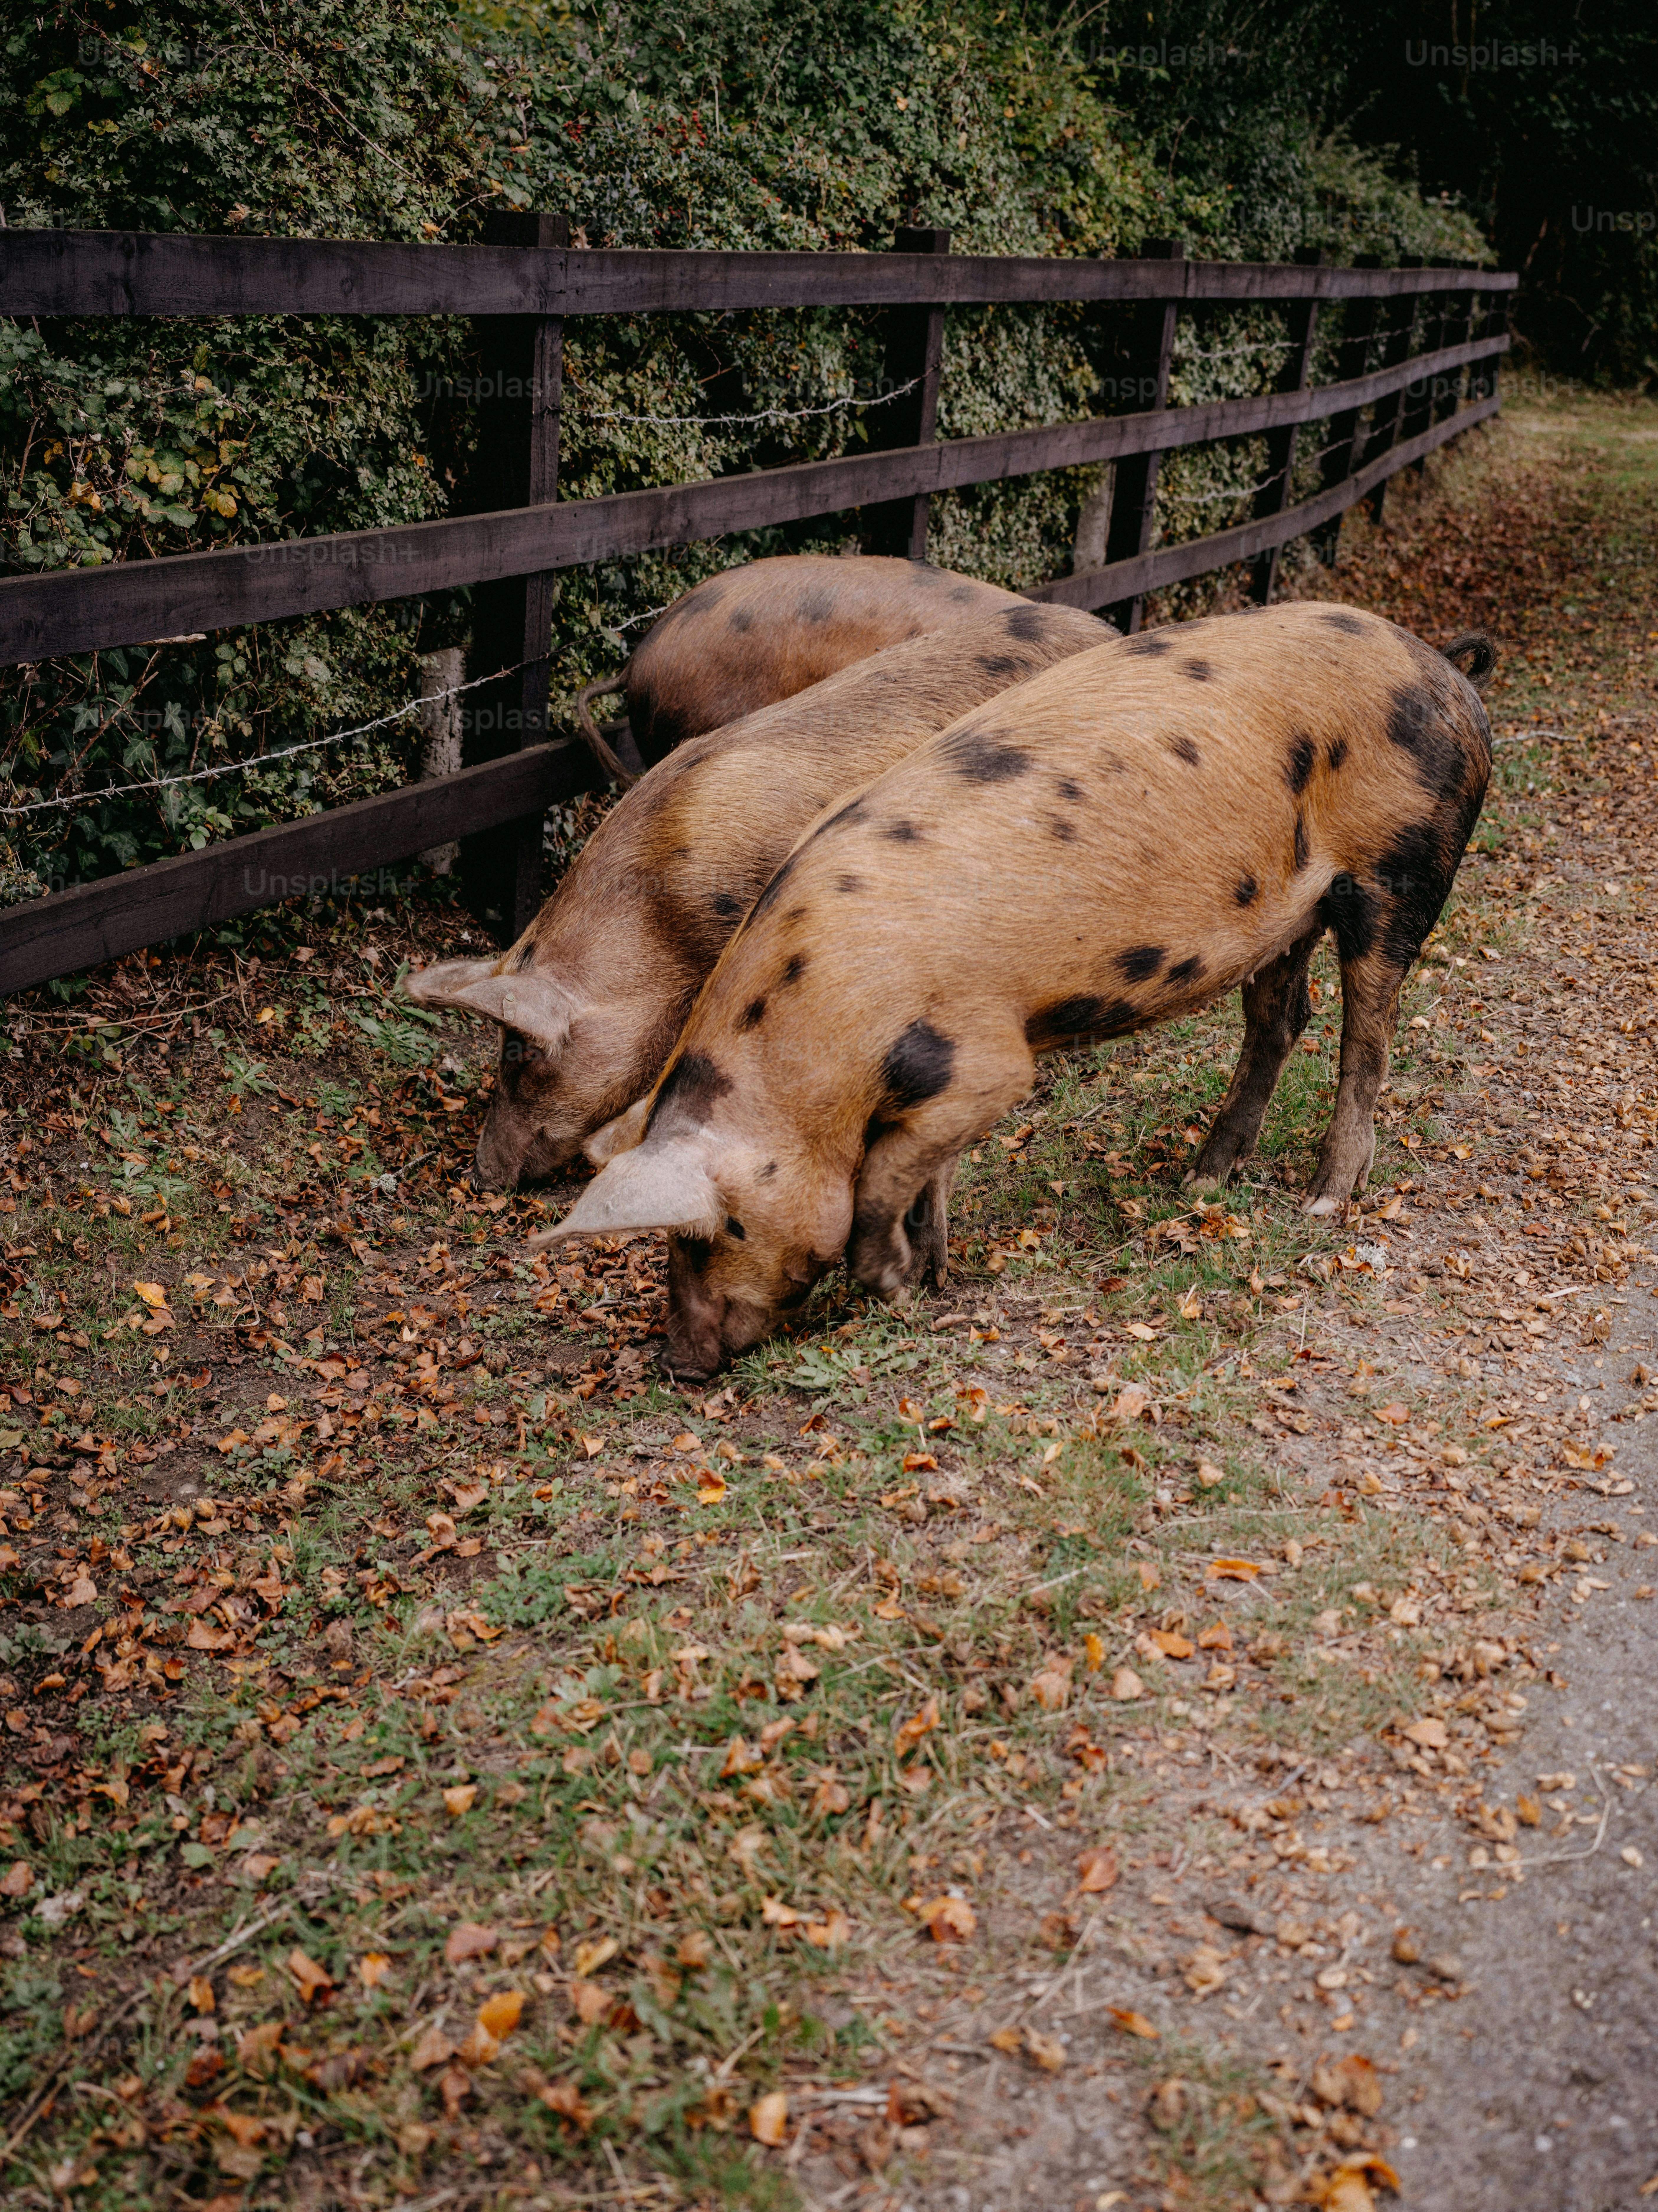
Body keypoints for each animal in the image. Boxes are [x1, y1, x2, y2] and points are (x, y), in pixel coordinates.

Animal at [536, 601, 1495, 1379]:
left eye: (711, 1228)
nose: (676, 1362)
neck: (811, 1052)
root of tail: (1441, 664)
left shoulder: (987, 1064)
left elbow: (880, 1181)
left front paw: (898, 1287)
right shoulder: (935, 1089)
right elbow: (925, 1174)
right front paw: (936, 1271)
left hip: (1402, 863)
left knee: (1366, 1033)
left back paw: (1323, 1199)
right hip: (1285, 915)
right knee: (1281, 1017)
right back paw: (1202, 1179)